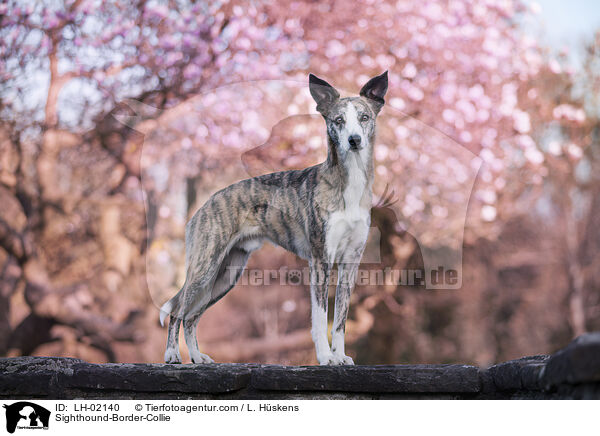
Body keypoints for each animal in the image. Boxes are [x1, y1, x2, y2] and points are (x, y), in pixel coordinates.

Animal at [159, 71, 390, 364]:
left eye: (364, 117)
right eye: (338, 120)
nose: (354, 140)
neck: (347, 183)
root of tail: (203, 206)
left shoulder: (350, 262)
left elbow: (340, 320)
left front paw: (340, 356)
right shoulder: (321, 260)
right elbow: (319, 318)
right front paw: (325, 357)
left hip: (225, 275)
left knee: (191, 317)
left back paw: (198, 358)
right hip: (205, 267)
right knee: (178, 310)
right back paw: (172, 354)